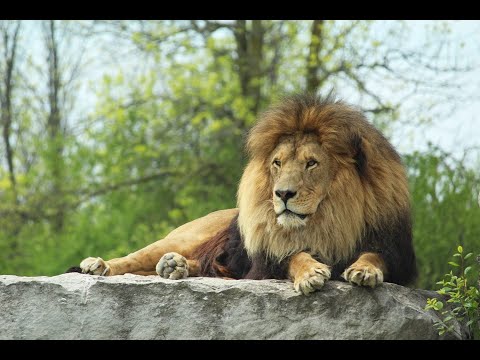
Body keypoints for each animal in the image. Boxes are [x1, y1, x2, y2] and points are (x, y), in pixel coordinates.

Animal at [77, 94, 418, 294]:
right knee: (135, 258)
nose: (282, 194)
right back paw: (100, 265)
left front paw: (364, 269)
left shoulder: (397, 253)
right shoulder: (267, 260)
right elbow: (293, 256)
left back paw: (176, 267)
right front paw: (310, 273)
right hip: (185, 236)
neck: (331, 217)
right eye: (277, 163)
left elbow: (376, 255)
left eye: (311, 163)